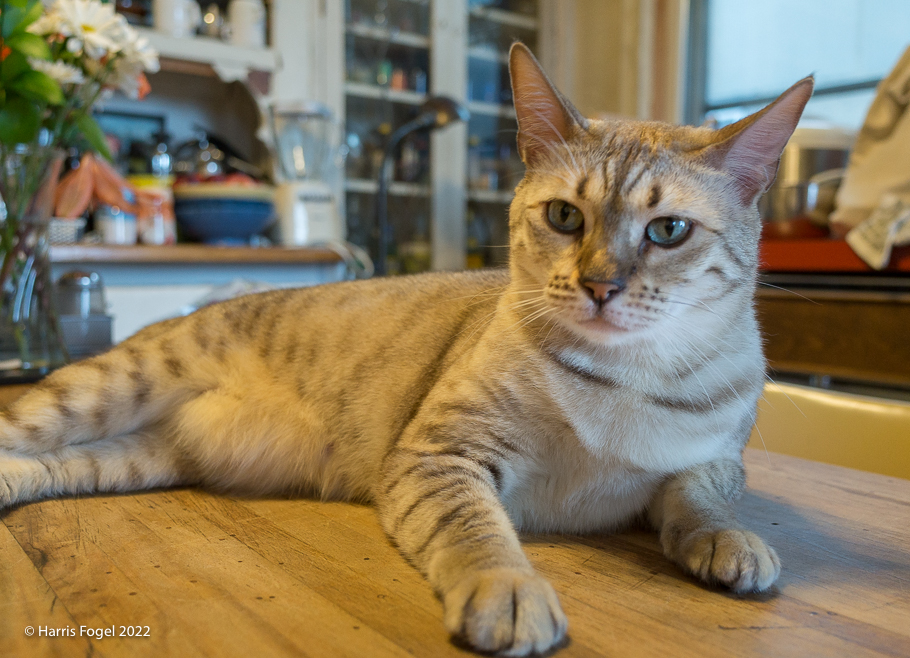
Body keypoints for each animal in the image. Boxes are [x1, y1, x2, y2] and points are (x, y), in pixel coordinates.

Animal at [0, 43, 812, 652]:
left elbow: (701, 502)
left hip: (137, 455)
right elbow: (479, 534)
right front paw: (509, 590)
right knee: (21, 433)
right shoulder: (442, 455)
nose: (599, 286)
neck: (623, 378)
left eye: (668, 230)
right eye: (563, 216)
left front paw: (731, 543)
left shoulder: (709, 461)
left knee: (50, 466)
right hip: (98, 393)